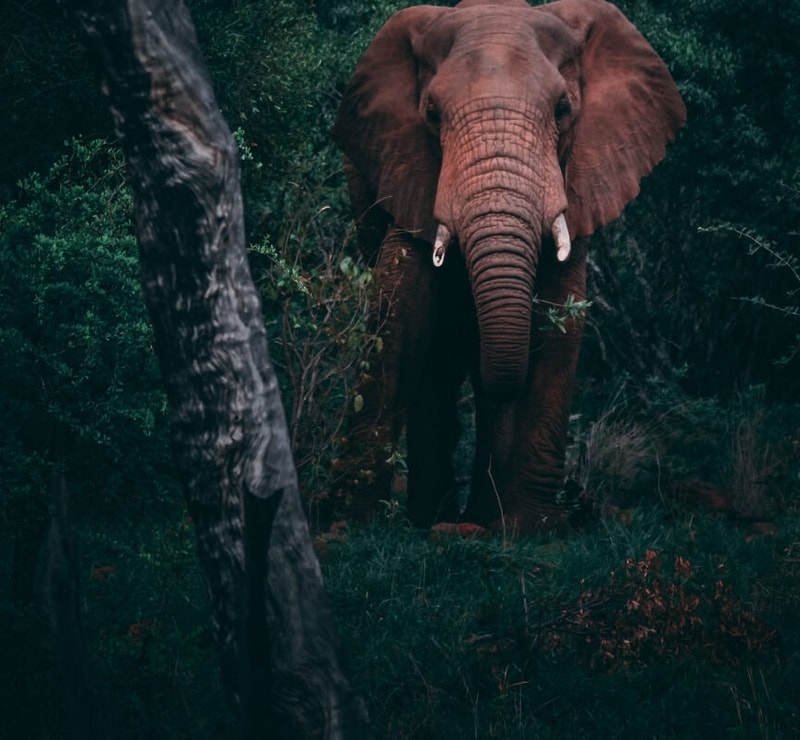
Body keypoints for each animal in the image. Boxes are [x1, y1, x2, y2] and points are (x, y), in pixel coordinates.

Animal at [332, 0, 685, 532]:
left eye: (563, 110)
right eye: (431, 115)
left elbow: (561, 318)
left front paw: (533, 529)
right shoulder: (406, 168)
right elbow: (400, 313)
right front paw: (349, 521)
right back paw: (437, 516)